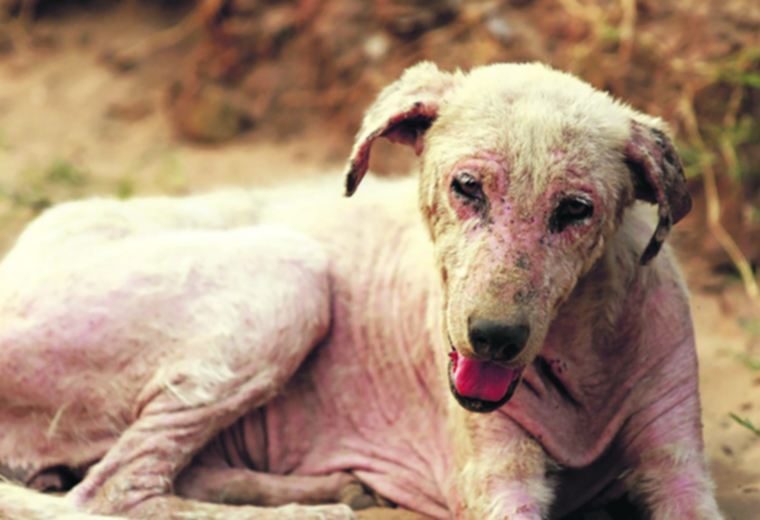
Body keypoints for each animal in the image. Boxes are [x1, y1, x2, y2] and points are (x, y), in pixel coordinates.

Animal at [0, 63, 724, 516]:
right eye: (467, 187)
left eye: (576, 209)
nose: (493, 339)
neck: (582, 349)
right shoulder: (498, 480)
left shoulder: (679, 462)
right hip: (288, 276)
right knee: (111, 492)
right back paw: (313, 511)